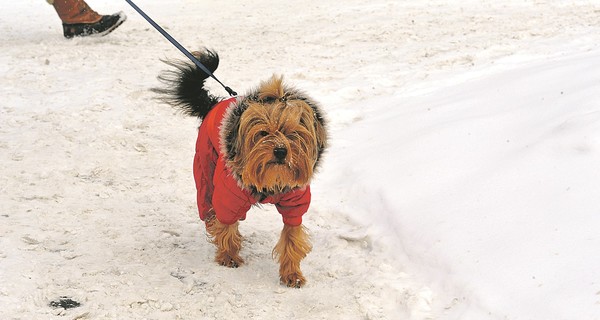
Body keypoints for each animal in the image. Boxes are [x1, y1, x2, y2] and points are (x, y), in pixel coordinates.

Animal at [152, 50, 326, 288]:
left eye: (292, 134)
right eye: (263, 133)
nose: (281, 151)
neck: (269, 181)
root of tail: (213, 104)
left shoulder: (295, 201)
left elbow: (292, 236)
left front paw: (292, 274)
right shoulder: (228, 195)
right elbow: (227, 225)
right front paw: (228, 255)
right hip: (205, 165)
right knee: (207, 200)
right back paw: (211, 221)